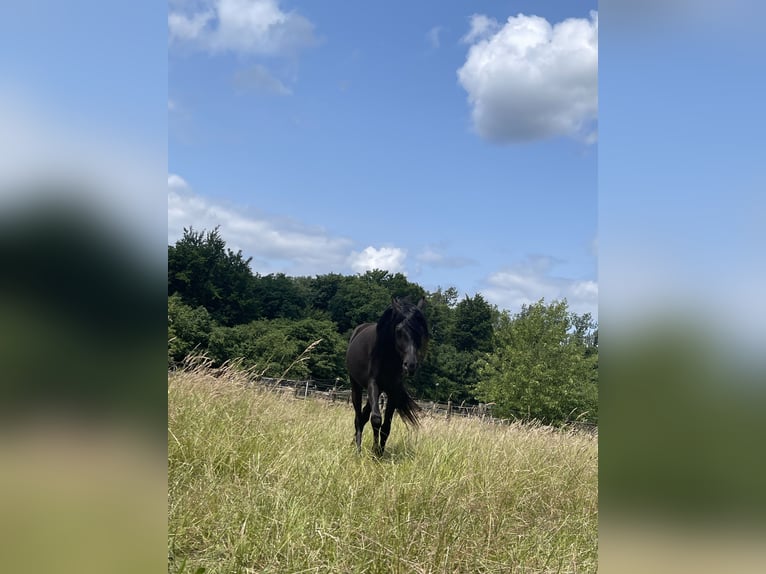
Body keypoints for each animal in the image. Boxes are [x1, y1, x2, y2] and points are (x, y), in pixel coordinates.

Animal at [346, 297, 429, 454]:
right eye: (399, 330)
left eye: (420, 331)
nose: (410, 365)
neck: (387, 357)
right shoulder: (373, 384)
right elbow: (376, 419)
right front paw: (374, 450)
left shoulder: (393, 389)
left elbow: (386, 426)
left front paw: (379, 453)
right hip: (356, 386)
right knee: (358, 417)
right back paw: (357, 448)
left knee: (364, 415)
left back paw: (353, 443)